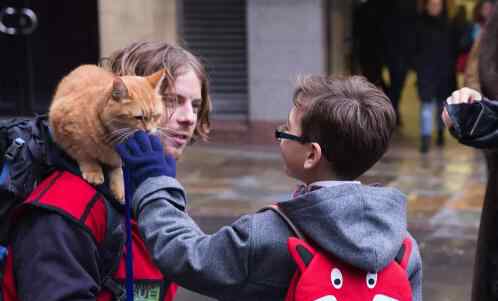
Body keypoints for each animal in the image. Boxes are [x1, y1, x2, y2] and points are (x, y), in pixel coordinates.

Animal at [49, 64, 165, 203]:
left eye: (156, 116)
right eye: (138, 117)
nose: (148, 131)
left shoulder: (117, 158)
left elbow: (117, 168)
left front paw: (119, 187)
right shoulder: (65, 129)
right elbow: (84, 154)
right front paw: (93, 171)